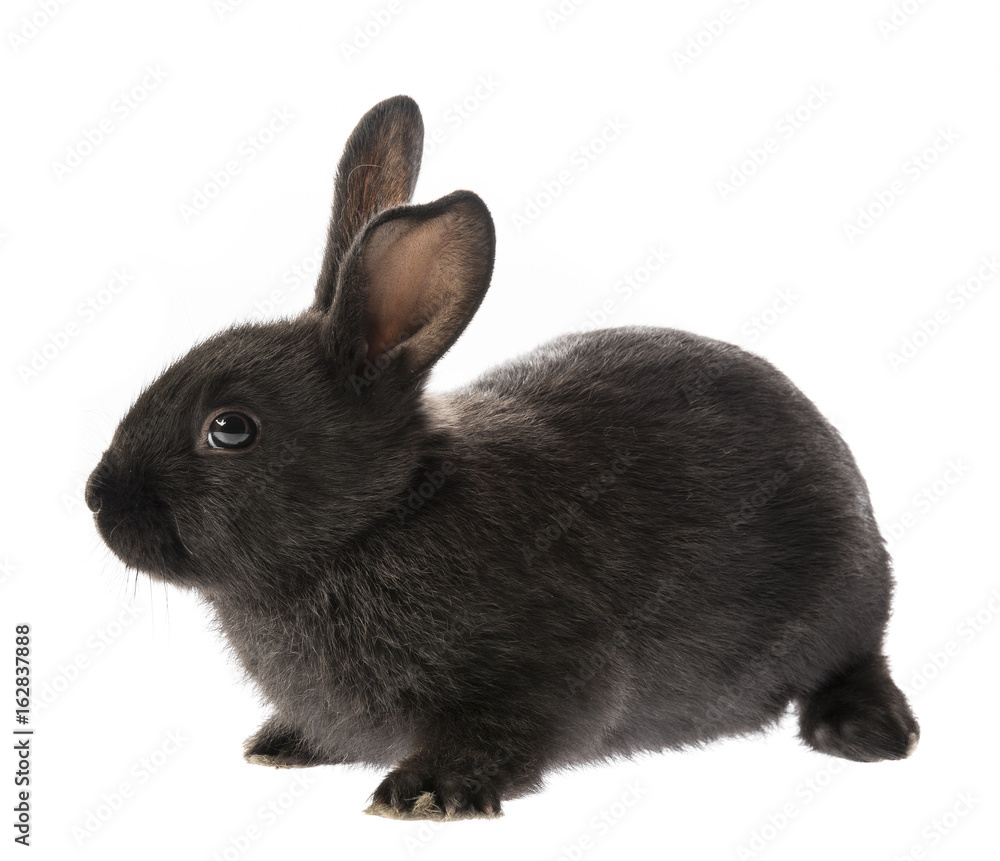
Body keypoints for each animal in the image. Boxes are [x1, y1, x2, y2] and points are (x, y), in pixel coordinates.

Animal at [85, 94, 919, 821]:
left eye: (230, 429)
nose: (97, 498)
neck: (380, 517)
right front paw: (283, 742)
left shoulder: (551, 673)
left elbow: (508, 734)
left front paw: (424, 793)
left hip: (846, 593)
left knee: (855, 656)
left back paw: (867, 730)